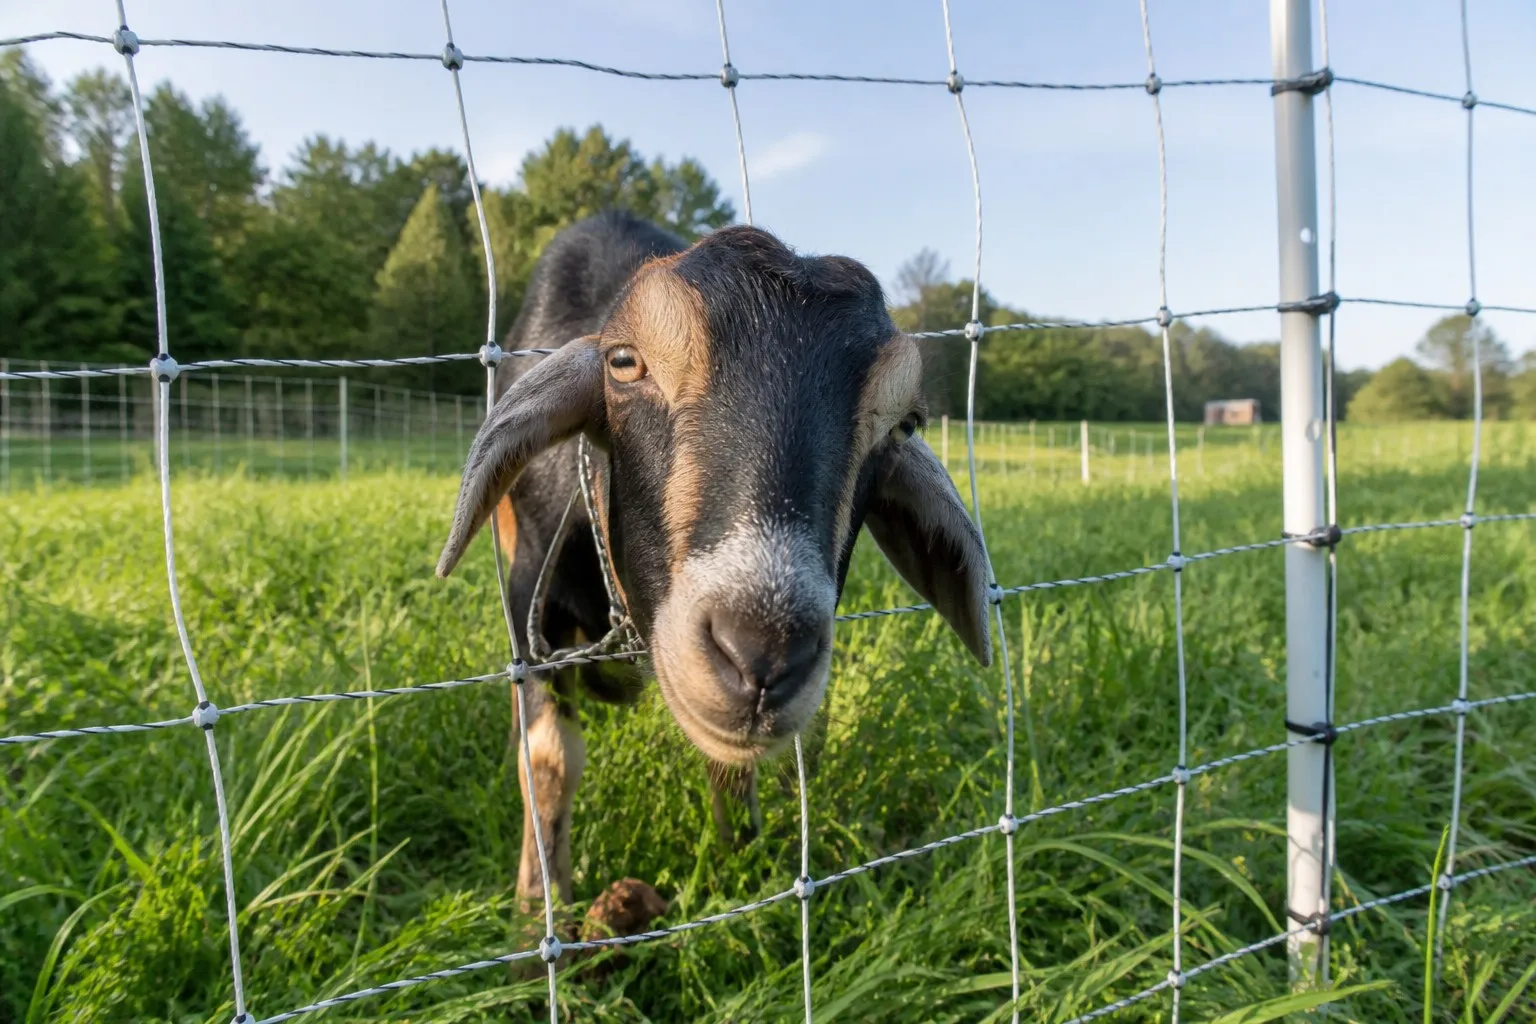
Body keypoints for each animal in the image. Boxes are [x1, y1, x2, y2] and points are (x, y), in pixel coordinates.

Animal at [437, 210, 992, 921]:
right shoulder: (532, 595)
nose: (763, 654)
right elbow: (549, 759)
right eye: (623, 363)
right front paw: (539, 914)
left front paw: (741, 856)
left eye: (905, 426)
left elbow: (729, 767)